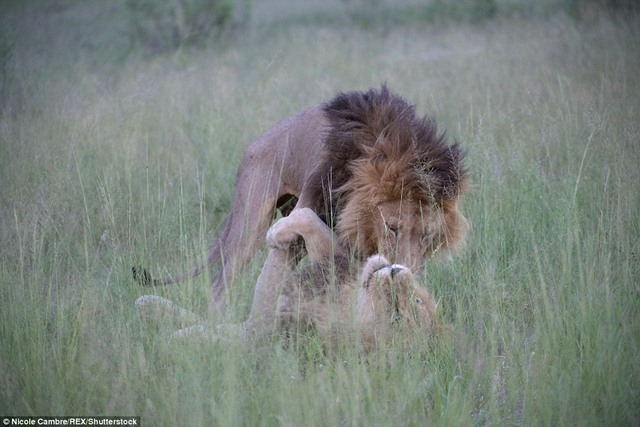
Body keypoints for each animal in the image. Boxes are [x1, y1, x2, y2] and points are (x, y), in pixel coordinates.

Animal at [134, 209, 436, 352]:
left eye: (396, 319)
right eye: (419, 300)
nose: (396, 272)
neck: (345, 302)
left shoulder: (265, 329)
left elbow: (219, 334)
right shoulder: (331, 264)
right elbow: (312, 221)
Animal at [135, 86, 468, 314]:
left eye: (427, 235)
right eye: (392, 227)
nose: (407, 270)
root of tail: (252, 147)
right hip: (249, 223)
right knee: (222, 284)